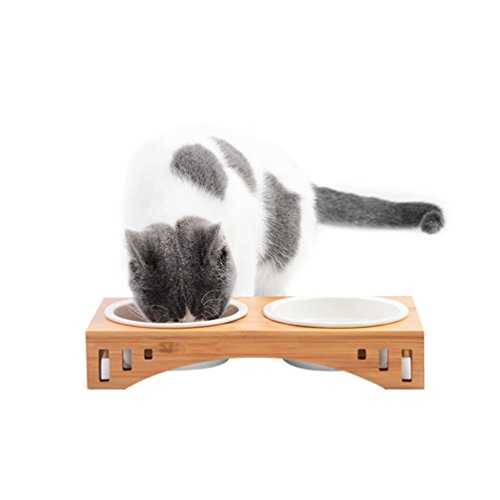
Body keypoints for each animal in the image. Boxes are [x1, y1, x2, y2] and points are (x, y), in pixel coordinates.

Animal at [124, 134, 444, 325]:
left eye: (211, 313)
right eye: (162, 316)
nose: (191, 326)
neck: (174, 202)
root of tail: (306, 184)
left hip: (283, 239)